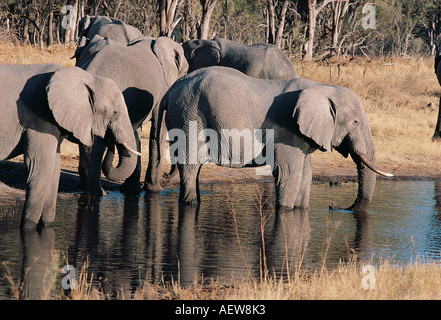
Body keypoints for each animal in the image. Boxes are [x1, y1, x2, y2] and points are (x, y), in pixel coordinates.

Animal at [0, 63, 138, 229]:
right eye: (116, 113)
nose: (110, 141)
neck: (87, 78)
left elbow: (55, 169)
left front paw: (46, 225)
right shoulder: (40, 117)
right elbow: (41, 166)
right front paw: (28, 227)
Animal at [75, 30, 186, 195]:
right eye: (185, 72)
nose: (167, 174)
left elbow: (136, 133)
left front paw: (132, 191)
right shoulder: (162, 89)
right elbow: (157, 132)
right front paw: (154, 190)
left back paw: (87, 189)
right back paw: (98, 193)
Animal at [158, 67, 392, 211]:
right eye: (355, 123)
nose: (332, 206)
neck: (322, 88)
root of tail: (170, 90)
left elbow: (306, 174)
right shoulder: (287, 131)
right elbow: (289, 174)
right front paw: (285, 210)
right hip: (189, 115)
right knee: (190, 166)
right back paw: (190, 204)